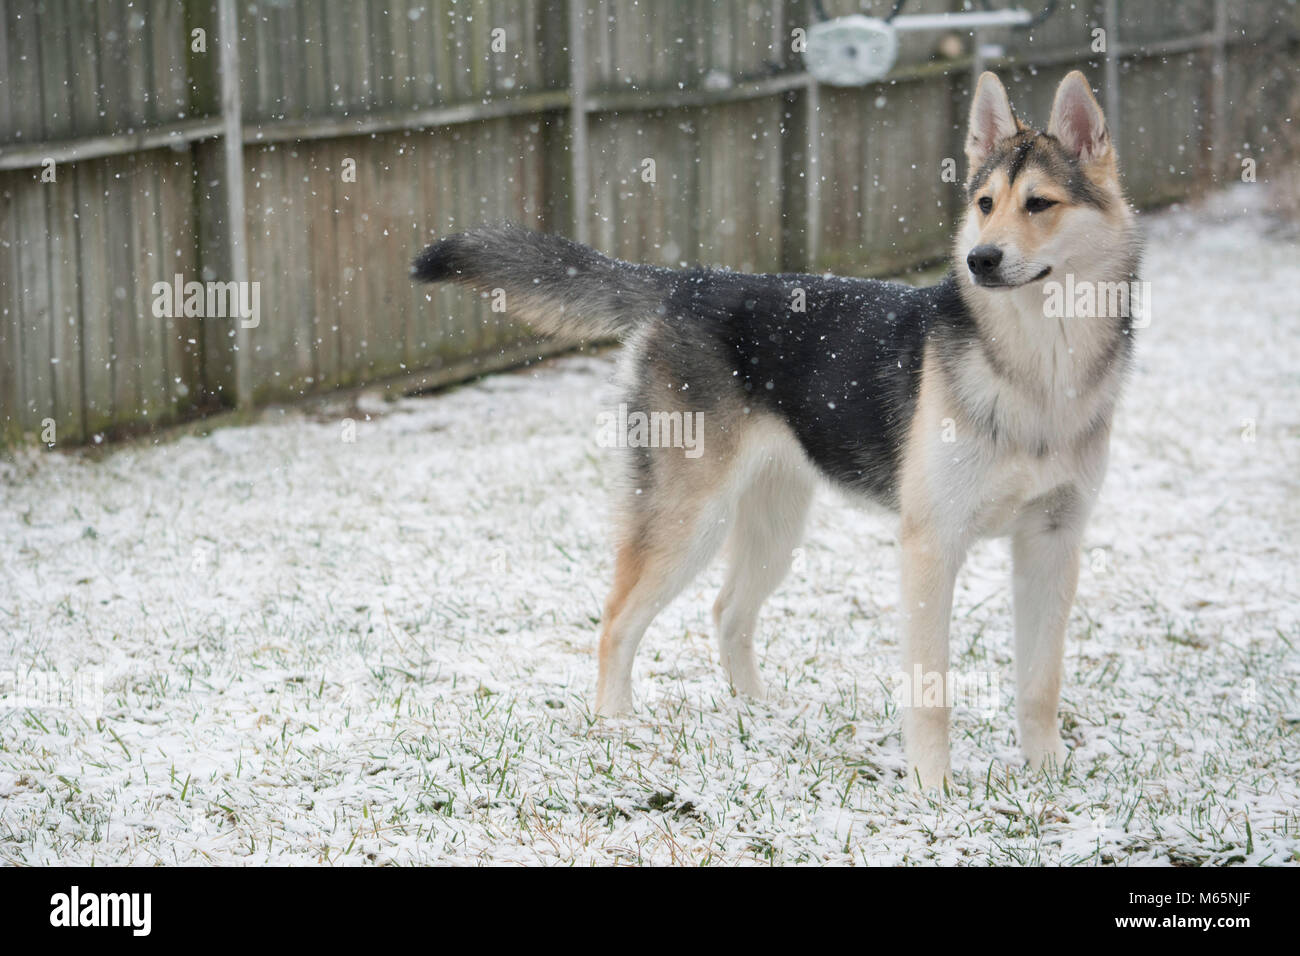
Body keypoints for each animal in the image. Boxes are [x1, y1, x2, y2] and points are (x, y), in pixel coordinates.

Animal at [413, 70, 1138, 790]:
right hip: (688, 521)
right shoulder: (933, 546)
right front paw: (934, 791)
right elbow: (931, 691)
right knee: (617, 621)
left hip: (775, 528)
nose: (979, 260)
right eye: (985, 203)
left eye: (1039, 204)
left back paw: (757, 716)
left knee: (727, 611)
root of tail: (685, 283)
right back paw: (616, 729)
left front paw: (1049, 776)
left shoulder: (1052, 542)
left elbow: (1041, 681)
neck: (1038, 367)